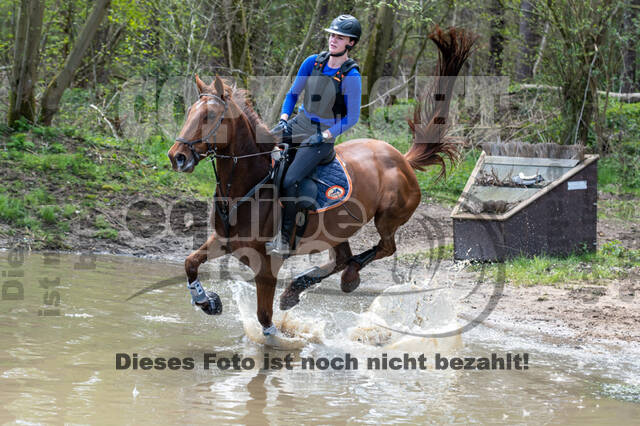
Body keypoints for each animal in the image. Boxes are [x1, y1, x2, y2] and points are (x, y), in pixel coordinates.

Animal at [166, 26, 476, 336]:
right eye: (189, 112)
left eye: (210, 116)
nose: (176, 157)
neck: (247, 186)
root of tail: (402, 158)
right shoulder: (223, 241)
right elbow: (189, 263)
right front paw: (206, 301)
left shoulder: (267, 265)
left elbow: (265, 319)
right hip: (338, 228)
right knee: (342, 257)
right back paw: (297, 289)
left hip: (388, 217)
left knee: (383, 248)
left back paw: (346, 278)